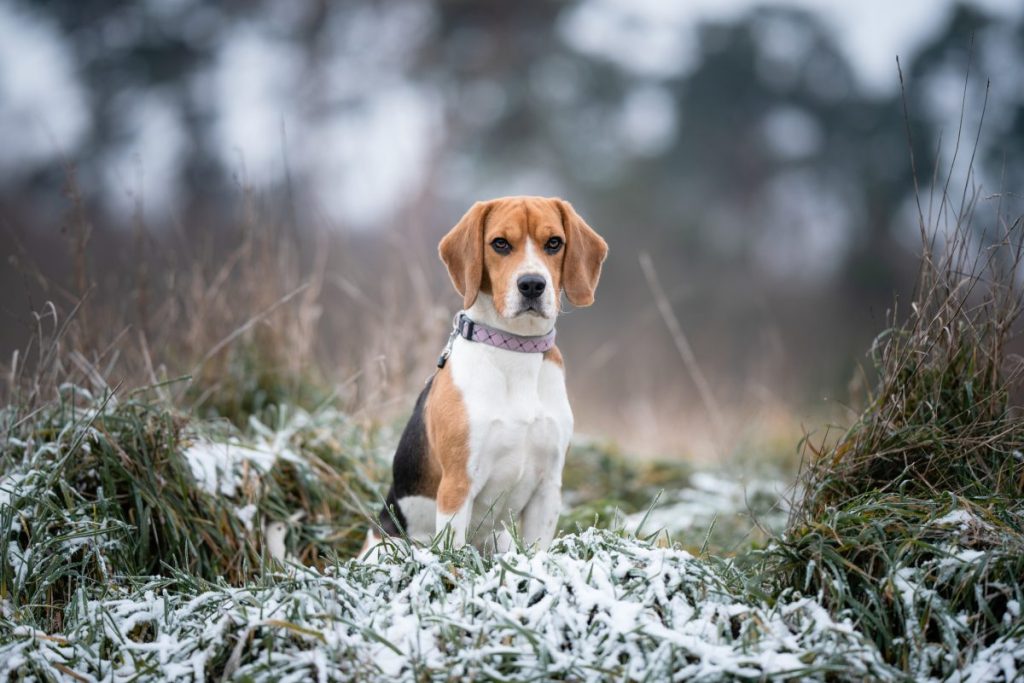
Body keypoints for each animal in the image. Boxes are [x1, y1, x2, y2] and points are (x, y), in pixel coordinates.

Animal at [364, 196, 606, 557]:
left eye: (554, 243)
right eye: (500, 243)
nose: (532, 284)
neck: (516, 348)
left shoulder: (548, 488)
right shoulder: (457, 486)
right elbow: (453, 553)